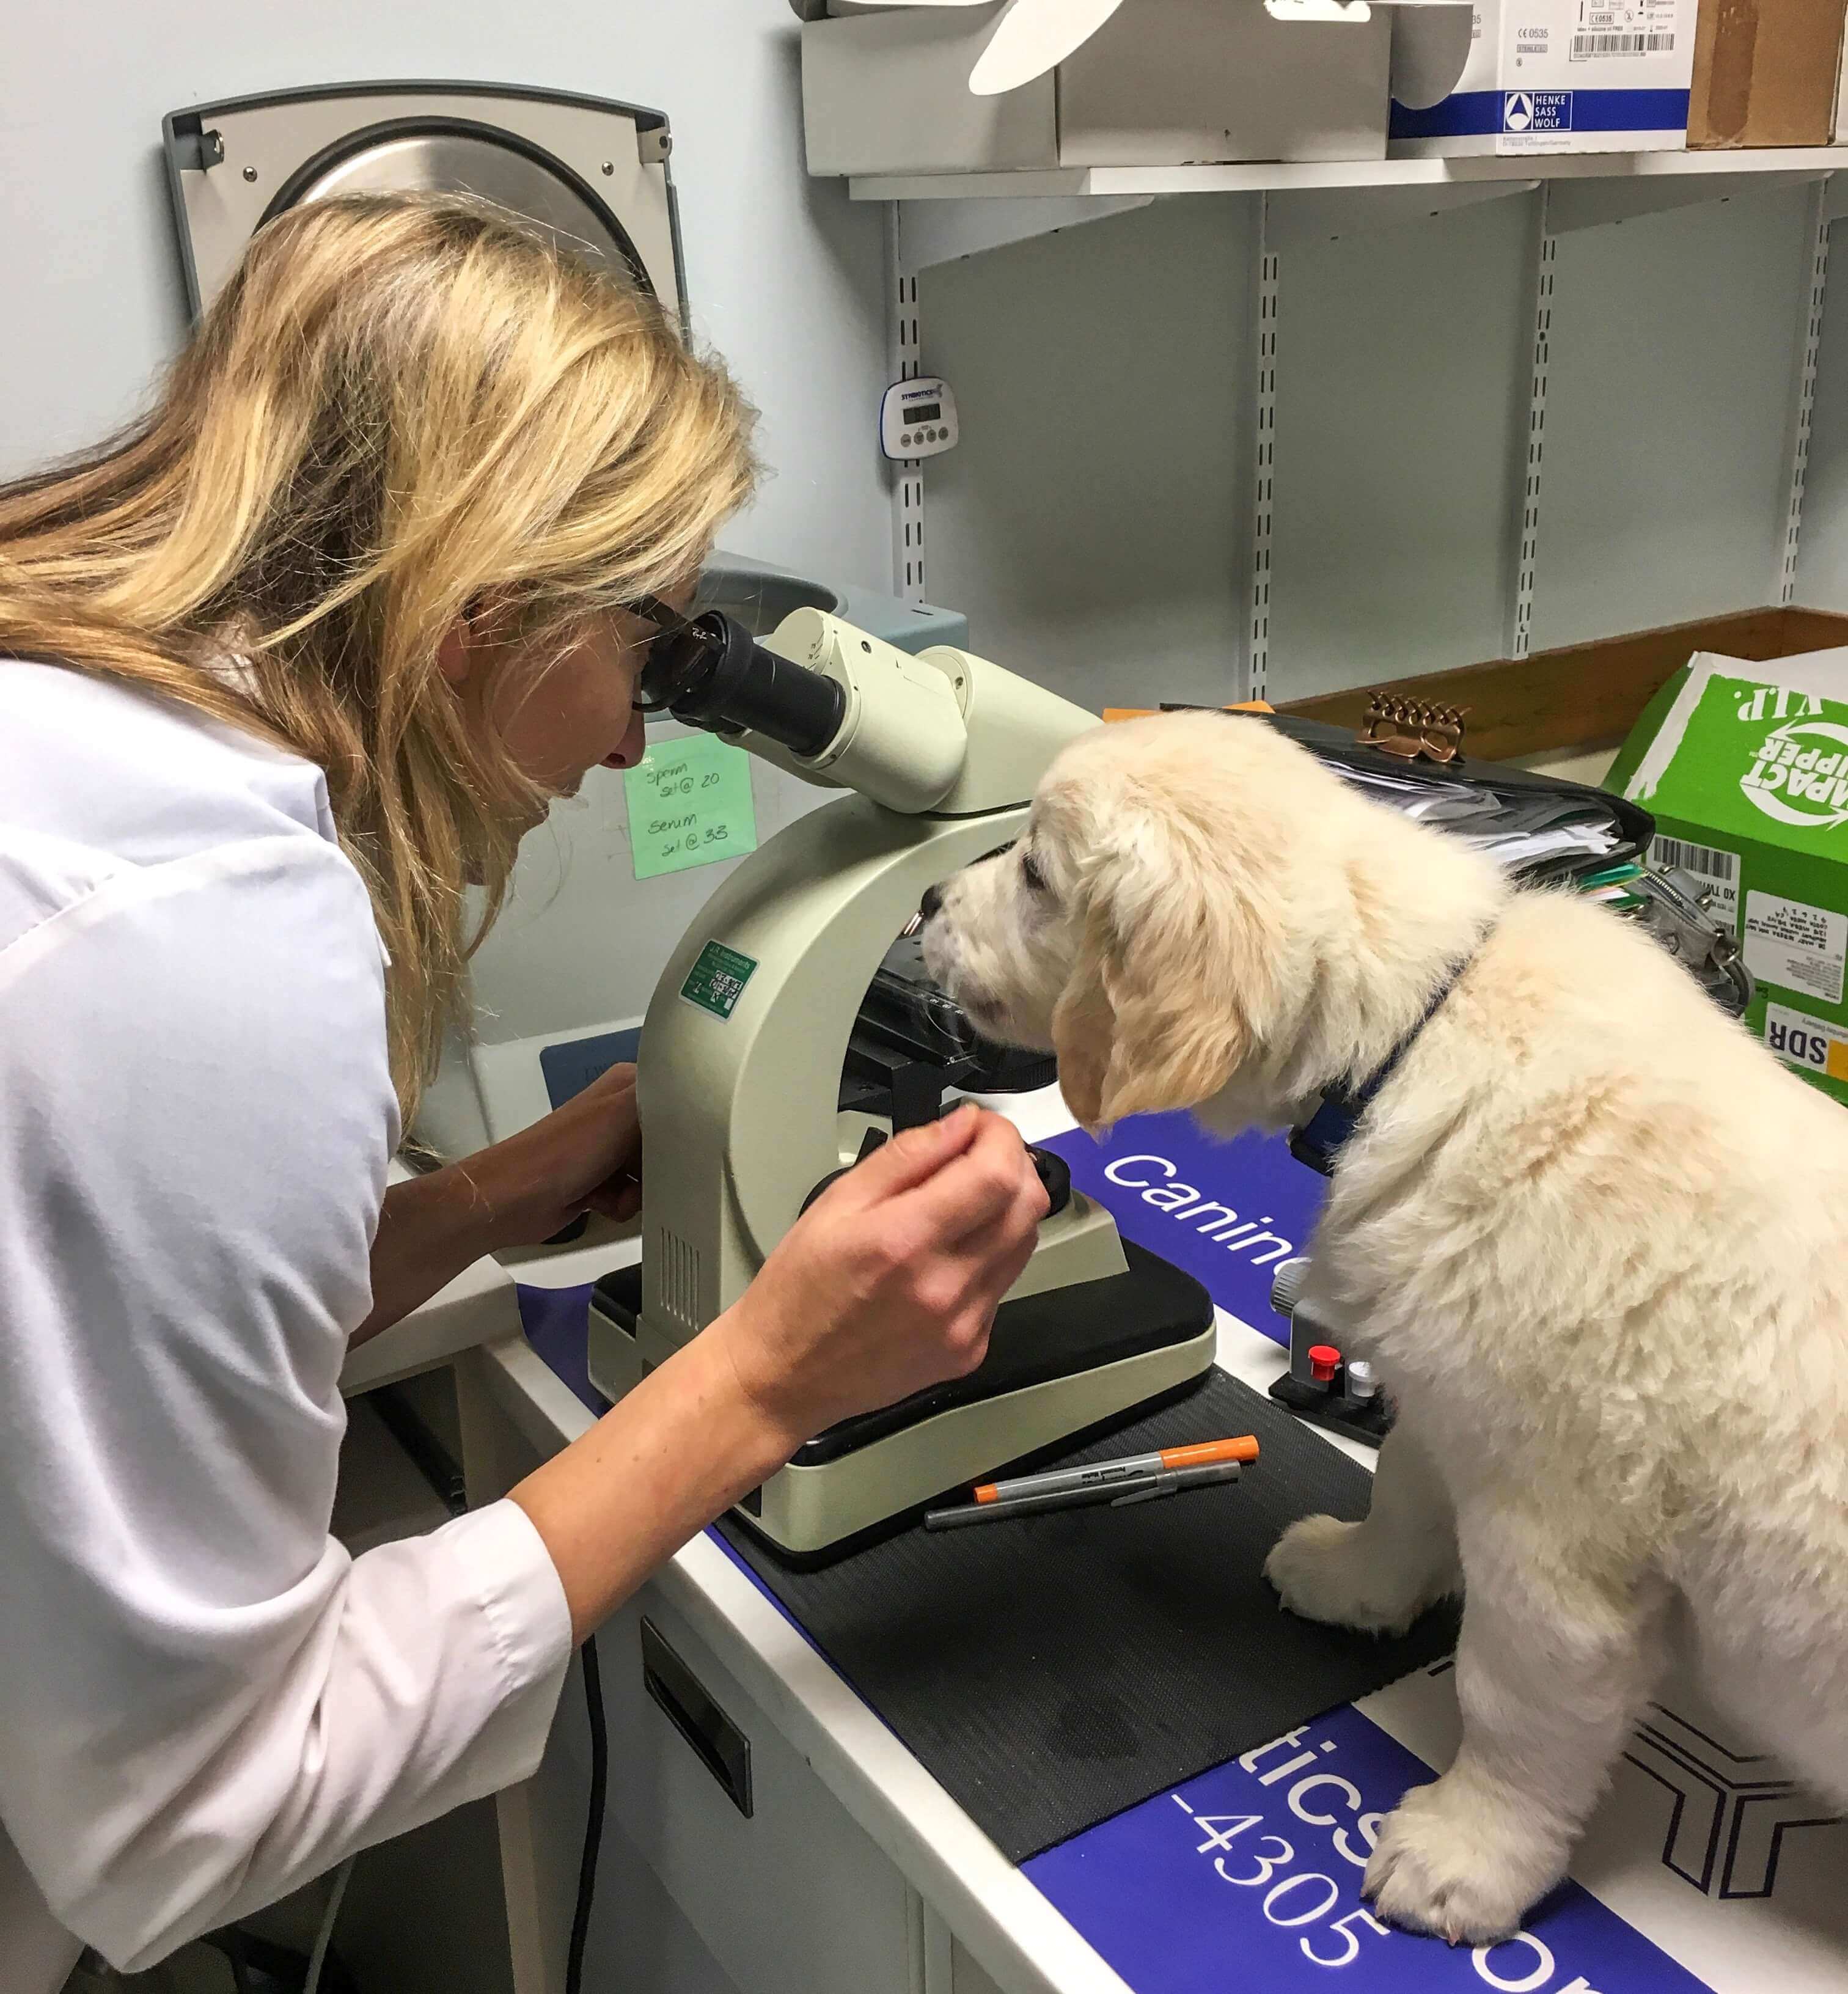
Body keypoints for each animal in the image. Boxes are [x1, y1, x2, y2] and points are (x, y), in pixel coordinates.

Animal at [921, 714, 1848, 1946]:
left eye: (1031, 872)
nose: (924, 899)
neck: (1414, 1030)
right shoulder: (1445, 1395)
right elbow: (1404, 1490)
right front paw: (1356, 1579)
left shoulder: (1552, 1539)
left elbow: (1513, 1700)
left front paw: (1471, 1852)